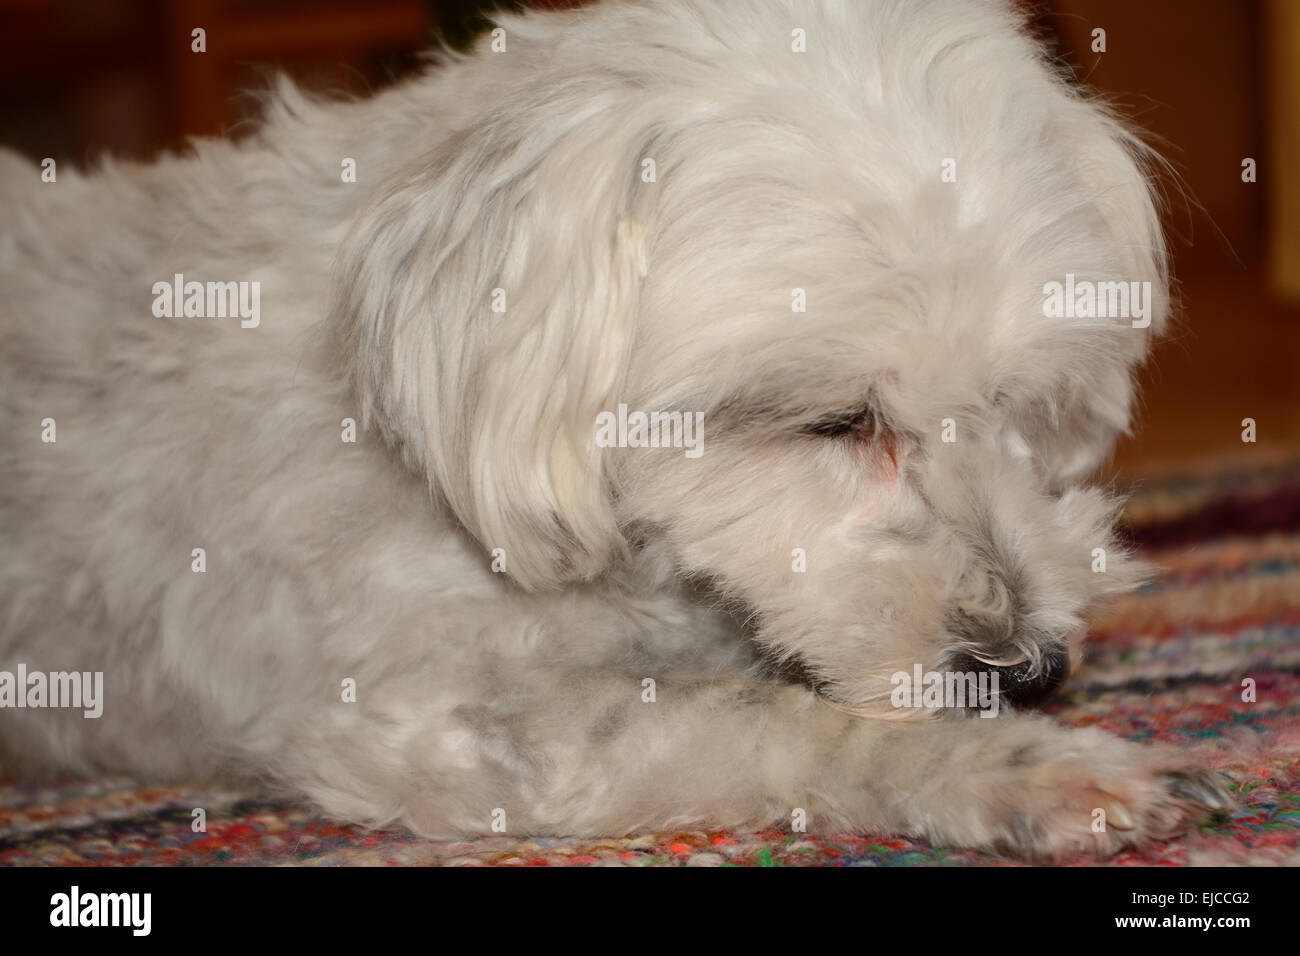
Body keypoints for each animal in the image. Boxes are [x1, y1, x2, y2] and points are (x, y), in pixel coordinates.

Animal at [0, 0, 1227, 858]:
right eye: (834, 420)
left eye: (1017, 404)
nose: (1030, 667)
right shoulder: (444, 719)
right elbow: (778, 720)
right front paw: (1016, 768)